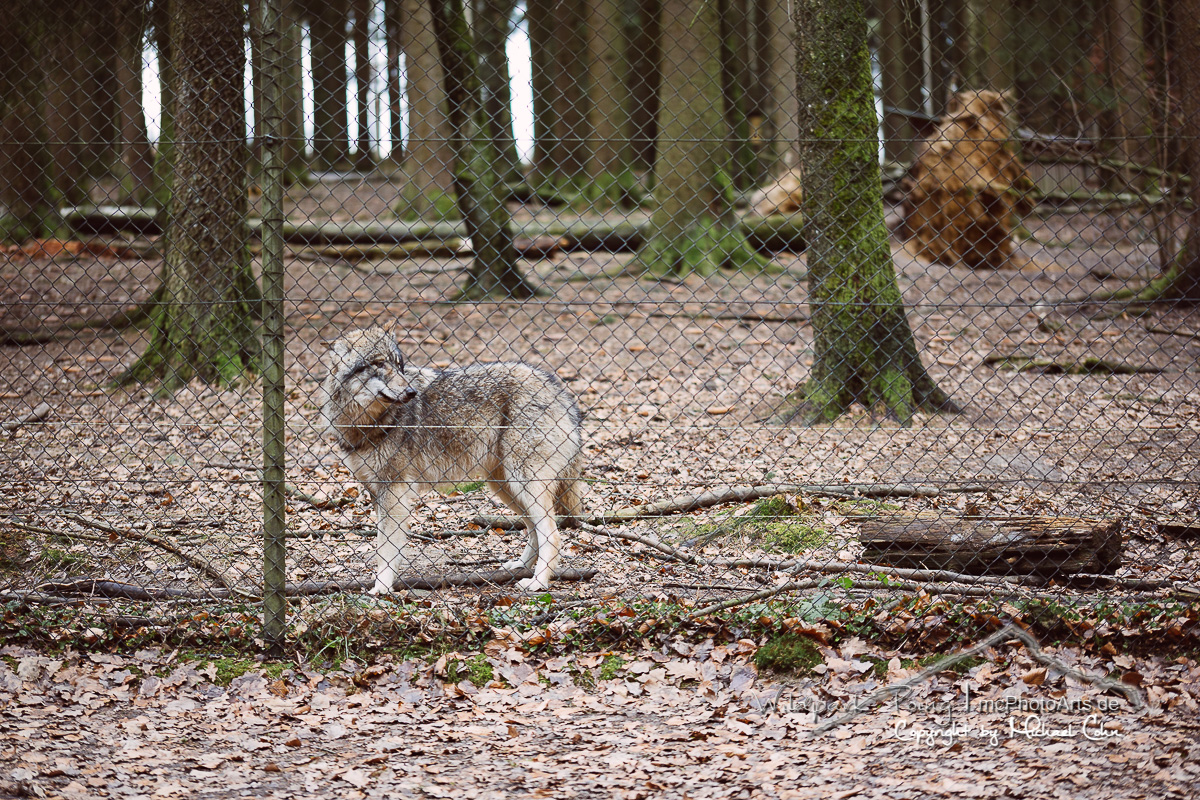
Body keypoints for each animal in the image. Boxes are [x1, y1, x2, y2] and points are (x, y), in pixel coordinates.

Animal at [321, 326, 584, 593]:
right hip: (505, 487)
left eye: (398, 365)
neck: (367, 422)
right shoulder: (376, 491)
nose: (411, 393)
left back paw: (538, 582)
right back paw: (520, 566)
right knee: (533, 530)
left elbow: (385, 549)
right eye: (379, 364)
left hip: (523, 483)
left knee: (552, 533)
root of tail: (558, 388)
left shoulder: (394, 491)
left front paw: (382, 587)